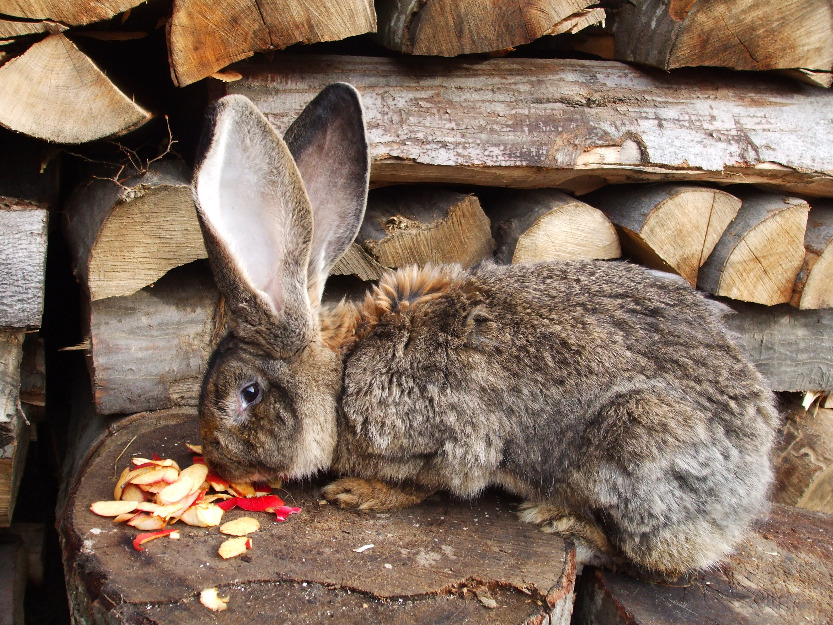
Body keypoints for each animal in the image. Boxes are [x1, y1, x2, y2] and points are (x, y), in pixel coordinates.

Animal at [192, 83, 776, 576]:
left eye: (248, 393)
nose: (218, 462)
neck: (341, 374)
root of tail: (752, 483)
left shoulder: (447, 443)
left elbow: (427, 483)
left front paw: (358, 493)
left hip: (639, 436)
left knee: (653, 557)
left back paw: (560, 518)